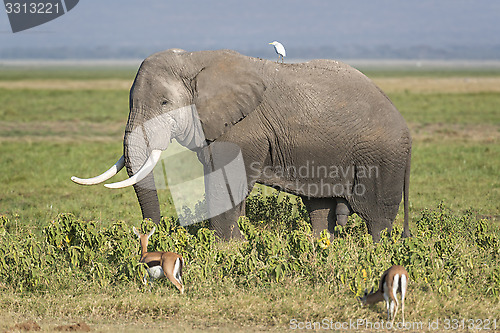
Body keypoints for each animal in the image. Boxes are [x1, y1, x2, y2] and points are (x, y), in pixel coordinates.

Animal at [72, 48, 412, 241]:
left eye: (165, 103)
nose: (150, 238)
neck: (194, 59)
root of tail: (406, 127)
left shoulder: (244, 129)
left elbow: (226, 180)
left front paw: (226, 248)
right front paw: (236, 244)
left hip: (381, 157)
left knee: (376, 216)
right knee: (320, 207)